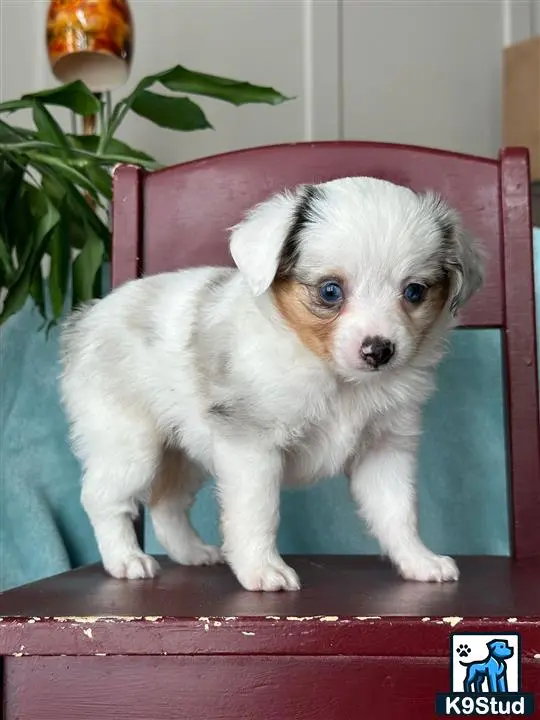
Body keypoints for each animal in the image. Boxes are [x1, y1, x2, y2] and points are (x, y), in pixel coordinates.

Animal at [60, 176, 486, 592]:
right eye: (330, 291)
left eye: (414, 292)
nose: (379, 350)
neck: (334, 376)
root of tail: (88, 318)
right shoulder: (252, 447)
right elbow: (258, 512)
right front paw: (262, 569)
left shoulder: (385, 450)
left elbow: (397, 513)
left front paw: (418, 560)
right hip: (131, 446)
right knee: (102, 499)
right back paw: (125, 559)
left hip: (186, 451)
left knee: (168, 503)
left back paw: (192, 552)